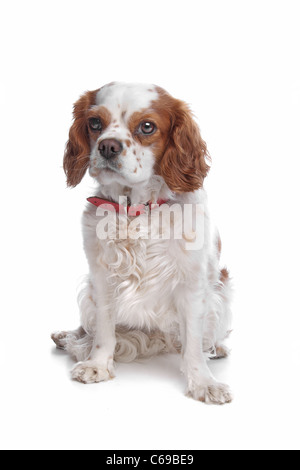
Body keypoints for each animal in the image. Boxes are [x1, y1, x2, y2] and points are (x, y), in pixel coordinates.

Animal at [51, 81, 233, 404]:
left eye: (147, 126)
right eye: (94, 123)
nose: (108, 146)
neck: (135, 210)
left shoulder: (193, 283)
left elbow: (194, 342)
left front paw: (203, 382)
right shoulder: (101, 277)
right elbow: (103, 332)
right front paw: (98, 365)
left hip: (221, 294)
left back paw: (217, 347)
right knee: (86, 327)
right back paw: (66, 336)